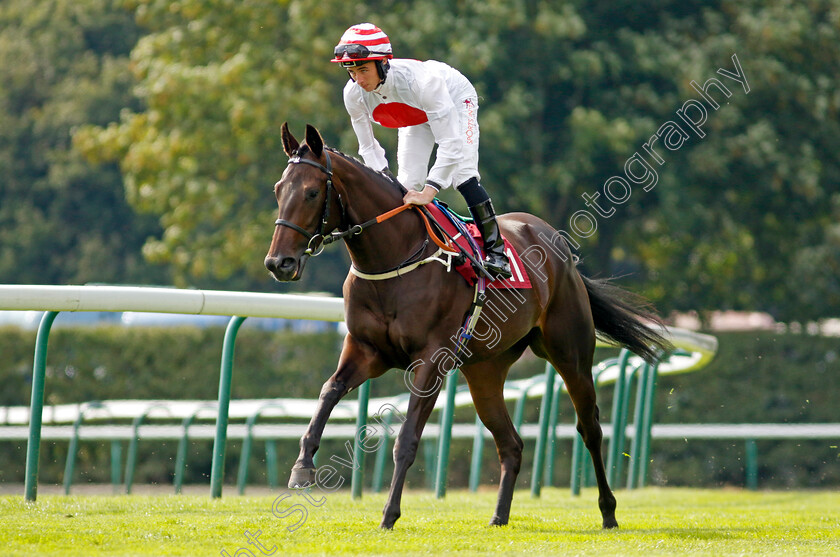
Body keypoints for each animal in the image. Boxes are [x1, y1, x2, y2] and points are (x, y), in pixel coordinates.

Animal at [262, 122, 668, 528]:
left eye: (312, 192)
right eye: (278, 190)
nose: (278, 263)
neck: (393, 260)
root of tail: (559, 248)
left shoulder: (432, 360)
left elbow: (407, 439)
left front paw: (389, 515)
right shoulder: (366, 350)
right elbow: (328, 392)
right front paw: (302, 467)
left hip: (571, 354)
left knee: (590, 428)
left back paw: (608, 511)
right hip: (485, 372)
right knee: (511, 444)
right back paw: (499, 516)